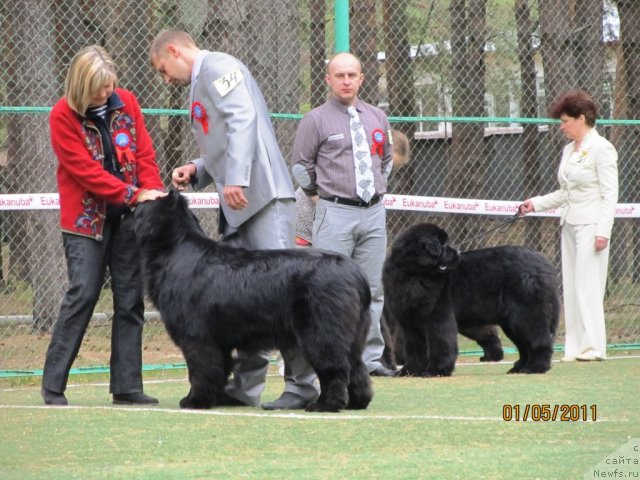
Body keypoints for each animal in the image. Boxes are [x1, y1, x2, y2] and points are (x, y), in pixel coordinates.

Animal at [136, 191, 376, 412]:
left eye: (143, 206)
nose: (134, 203)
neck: (175, 249)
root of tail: (355, 272)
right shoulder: (219, 341)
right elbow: (219, 369)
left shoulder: (197, 336)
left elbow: (200, 369)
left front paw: (195, 400)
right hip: (353, 334)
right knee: (357, 367)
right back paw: (357, 402)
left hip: (322, 332)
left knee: (335, 368)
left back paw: (325, 404)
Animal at [382, 223, 556, 376]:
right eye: (443, 244)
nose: (458, 253)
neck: (412, 274)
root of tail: (543, 262)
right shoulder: (409, 324)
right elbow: (415, 349)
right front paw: (408, 371)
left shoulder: (437, 317)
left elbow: (440, 344)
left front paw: (436, 370)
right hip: (511, 322)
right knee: (523, 345)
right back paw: (519, 368)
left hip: (526, 315)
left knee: (539, 340)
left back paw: (536, 367)